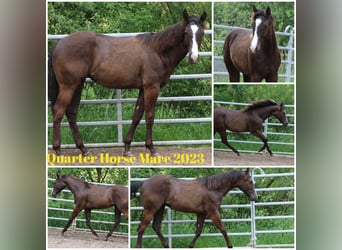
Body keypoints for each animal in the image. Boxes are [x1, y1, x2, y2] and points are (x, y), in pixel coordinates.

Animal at [48, 9, 207, 156]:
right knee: (58, 112)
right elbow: (149, 116)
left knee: (71, 113)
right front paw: (151, 148)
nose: (193, 58)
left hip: (78, 84)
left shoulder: (143, 89)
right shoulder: (152, 87)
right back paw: (57, 150)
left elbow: (137, 116)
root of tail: (59, 43)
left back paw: (83, 149)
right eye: (186, 32)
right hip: (69, 86)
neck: (157, 51)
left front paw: (127, 147)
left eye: (201, 32)